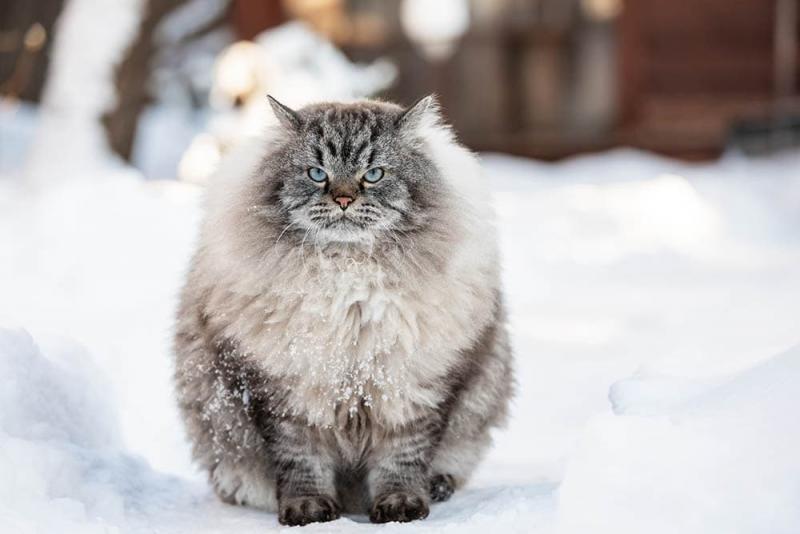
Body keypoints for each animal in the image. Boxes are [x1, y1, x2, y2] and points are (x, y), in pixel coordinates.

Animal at [173, 96, 512, 528]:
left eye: (374, 174)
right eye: (317, 174)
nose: (344, 199)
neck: (348, 278)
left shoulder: (413, 387)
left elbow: (401, 460)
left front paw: (401, 508)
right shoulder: (285, 392)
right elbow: (301, 462)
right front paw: (309, 512)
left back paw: (438, 487)